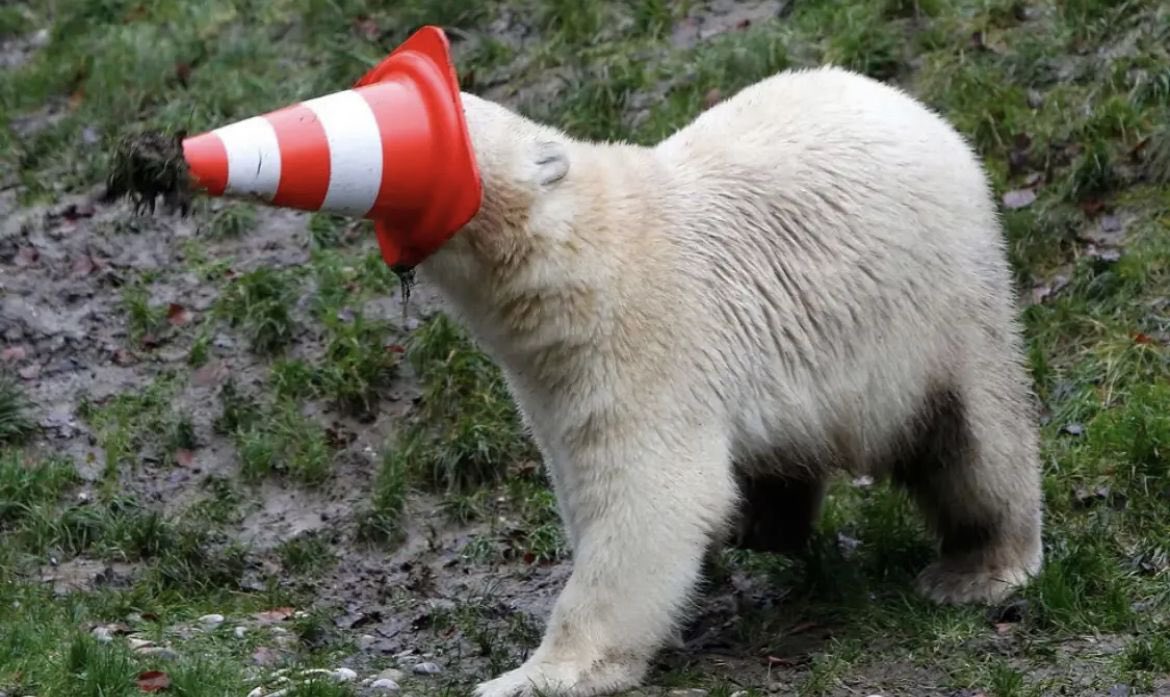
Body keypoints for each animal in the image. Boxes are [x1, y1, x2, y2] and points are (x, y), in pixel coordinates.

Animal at [410, 65, 1044, 697]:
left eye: (457, 113)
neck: (581, 258)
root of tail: (923, 114)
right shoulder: (552, 379)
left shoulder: (648, 339)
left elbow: (652, 497)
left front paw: (536, 674)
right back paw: (764, 522)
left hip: (940, 303)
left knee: (975, 441)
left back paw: (976, 568)